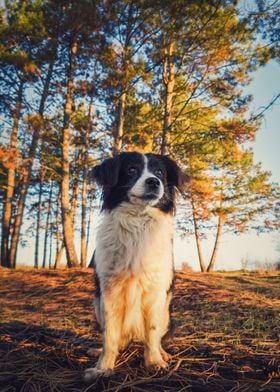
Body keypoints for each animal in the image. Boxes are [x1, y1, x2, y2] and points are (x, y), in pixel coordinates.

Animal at [84, 151, 189, 380]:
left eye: (159, 172)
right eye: (131, 169)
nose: (154, 182)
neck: (137, 223)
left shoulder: (156, 292)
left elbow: (152, 332)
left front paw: (154, 362)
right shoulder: (109, 293)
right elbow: (110, 336)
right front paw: (103, 367)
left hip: (167, 313)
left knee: (157, 337)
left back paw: (162, 353)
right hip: (97, 305)